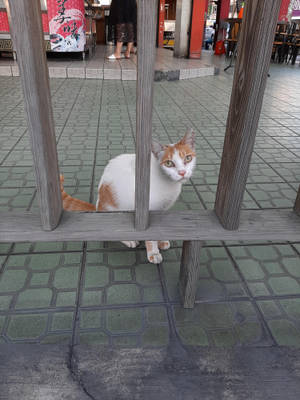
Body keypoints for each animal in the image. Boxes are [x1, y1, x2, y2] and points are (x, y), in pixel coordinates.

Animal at [61, 130, 197, 264]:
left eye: (188, 158)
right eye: (169, 163)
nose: (182, 172)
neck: (168, 184)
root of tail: (97, 207)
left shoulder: (162, 209)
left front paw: (161, 241)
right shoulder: (145, 211)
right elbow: (149, 236)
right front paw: (153, 253)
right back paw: (129, 240)